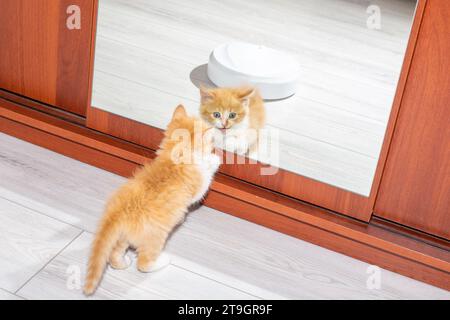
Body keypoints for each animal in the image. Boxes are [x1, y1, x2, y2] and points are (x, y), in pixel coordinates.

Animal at [83, 105, 221, 296]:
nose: (214, 146)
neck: (174, 156)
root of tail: (117, 211)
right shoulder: (198, 186)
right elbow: (205, 180)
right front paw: (213, 160)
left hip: (123, 236)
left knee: (113, 254)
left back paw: (122, 262)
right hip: (155, 238)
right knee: (143, 263)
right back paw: (162, 261)